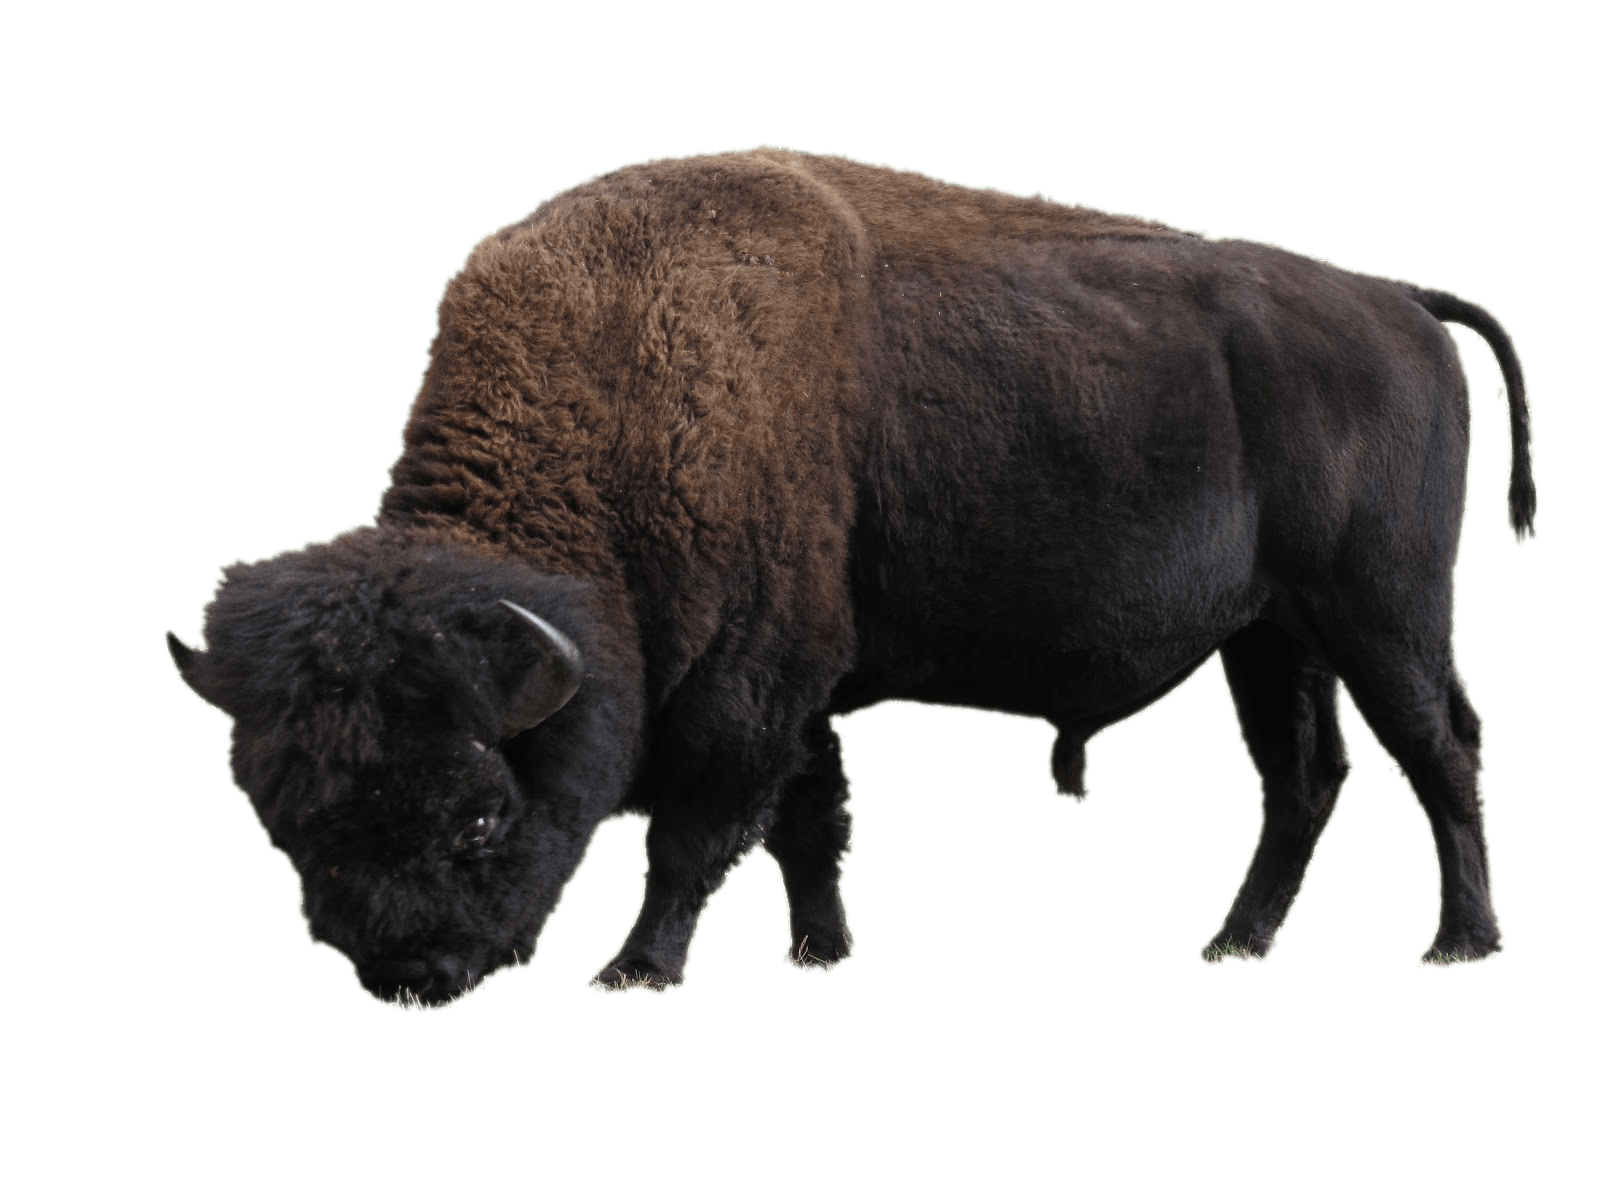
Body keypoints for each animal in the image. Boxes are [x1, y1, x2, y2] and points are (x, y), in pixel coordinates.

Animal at [167, 147, 1534, 1007]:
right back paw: (1234, 944)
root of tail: (1393, 302)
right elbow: (808, 824)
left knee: (1439, 748)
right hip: (1268, 635)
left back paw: (1459, 945)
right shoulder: (804, 690)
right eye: (287, 820)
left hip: (1380, 614)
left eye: (479, 815)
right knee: (1301, 775)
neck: (623, 389)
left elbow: (702, 834)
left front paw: (636, 971)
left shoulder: (748, 689)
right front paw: (820, 956)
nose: (407, 976)